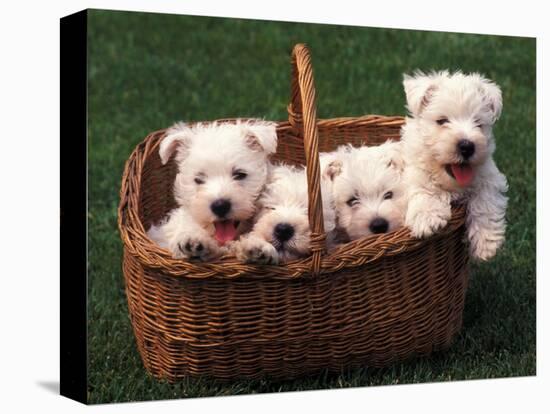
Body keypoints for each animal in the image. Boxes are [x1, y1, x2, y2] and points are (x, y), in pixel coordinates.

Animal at [404, 70, 512, 260]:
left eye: (478, 123)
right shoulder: (415, 170)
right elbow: (424, 187)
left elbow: (485, 201)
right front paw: (427, 219)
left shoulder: (489, 176)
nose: (467, 146)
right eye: (442, 121)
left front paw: (486, 244)